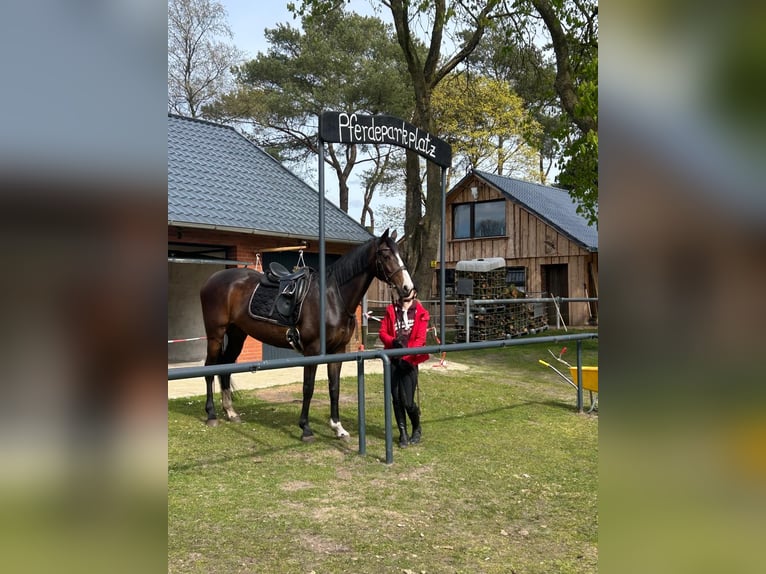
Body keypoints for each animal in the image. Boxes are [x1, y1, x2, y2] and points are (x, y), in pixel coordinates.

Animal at [199, 229, 414, 441]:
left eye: (400, 255)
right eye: (385, 255)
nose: (408, 288)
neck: (332, 298)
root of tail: (212, 280)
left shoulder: (338, 351)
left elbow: (334, 387)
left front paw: (338, 427)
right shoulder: (313, 350)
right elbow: (308, 387)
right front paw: (306, 428)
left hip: (237, 334)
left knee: (225, 367)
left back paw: (230, 412)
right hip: (215, 335)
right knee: (209, 368)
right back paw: (211, 414)